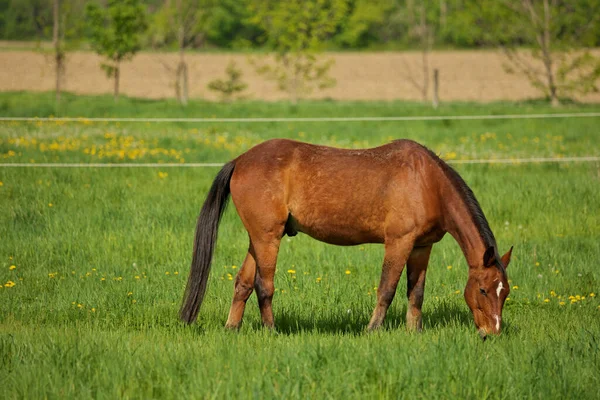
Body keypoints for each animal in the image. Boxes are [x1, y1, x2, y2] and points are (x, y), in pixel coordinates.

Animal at [179, 138, 510, 338]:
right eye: (483, 290)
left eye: (504, 292)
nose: (492, 333)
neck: (427, 182)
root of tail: (240, 160)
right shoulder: (399, 242)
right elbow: (387, 289)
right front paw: (372, 330)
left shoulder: (421, 247)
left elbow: (416, 292)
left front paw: (413, 332)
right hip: (267, 237)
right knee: (264, 285)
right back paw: (271, 330)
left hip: (257, 237)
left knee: (243, 283)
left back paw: (232, 328)